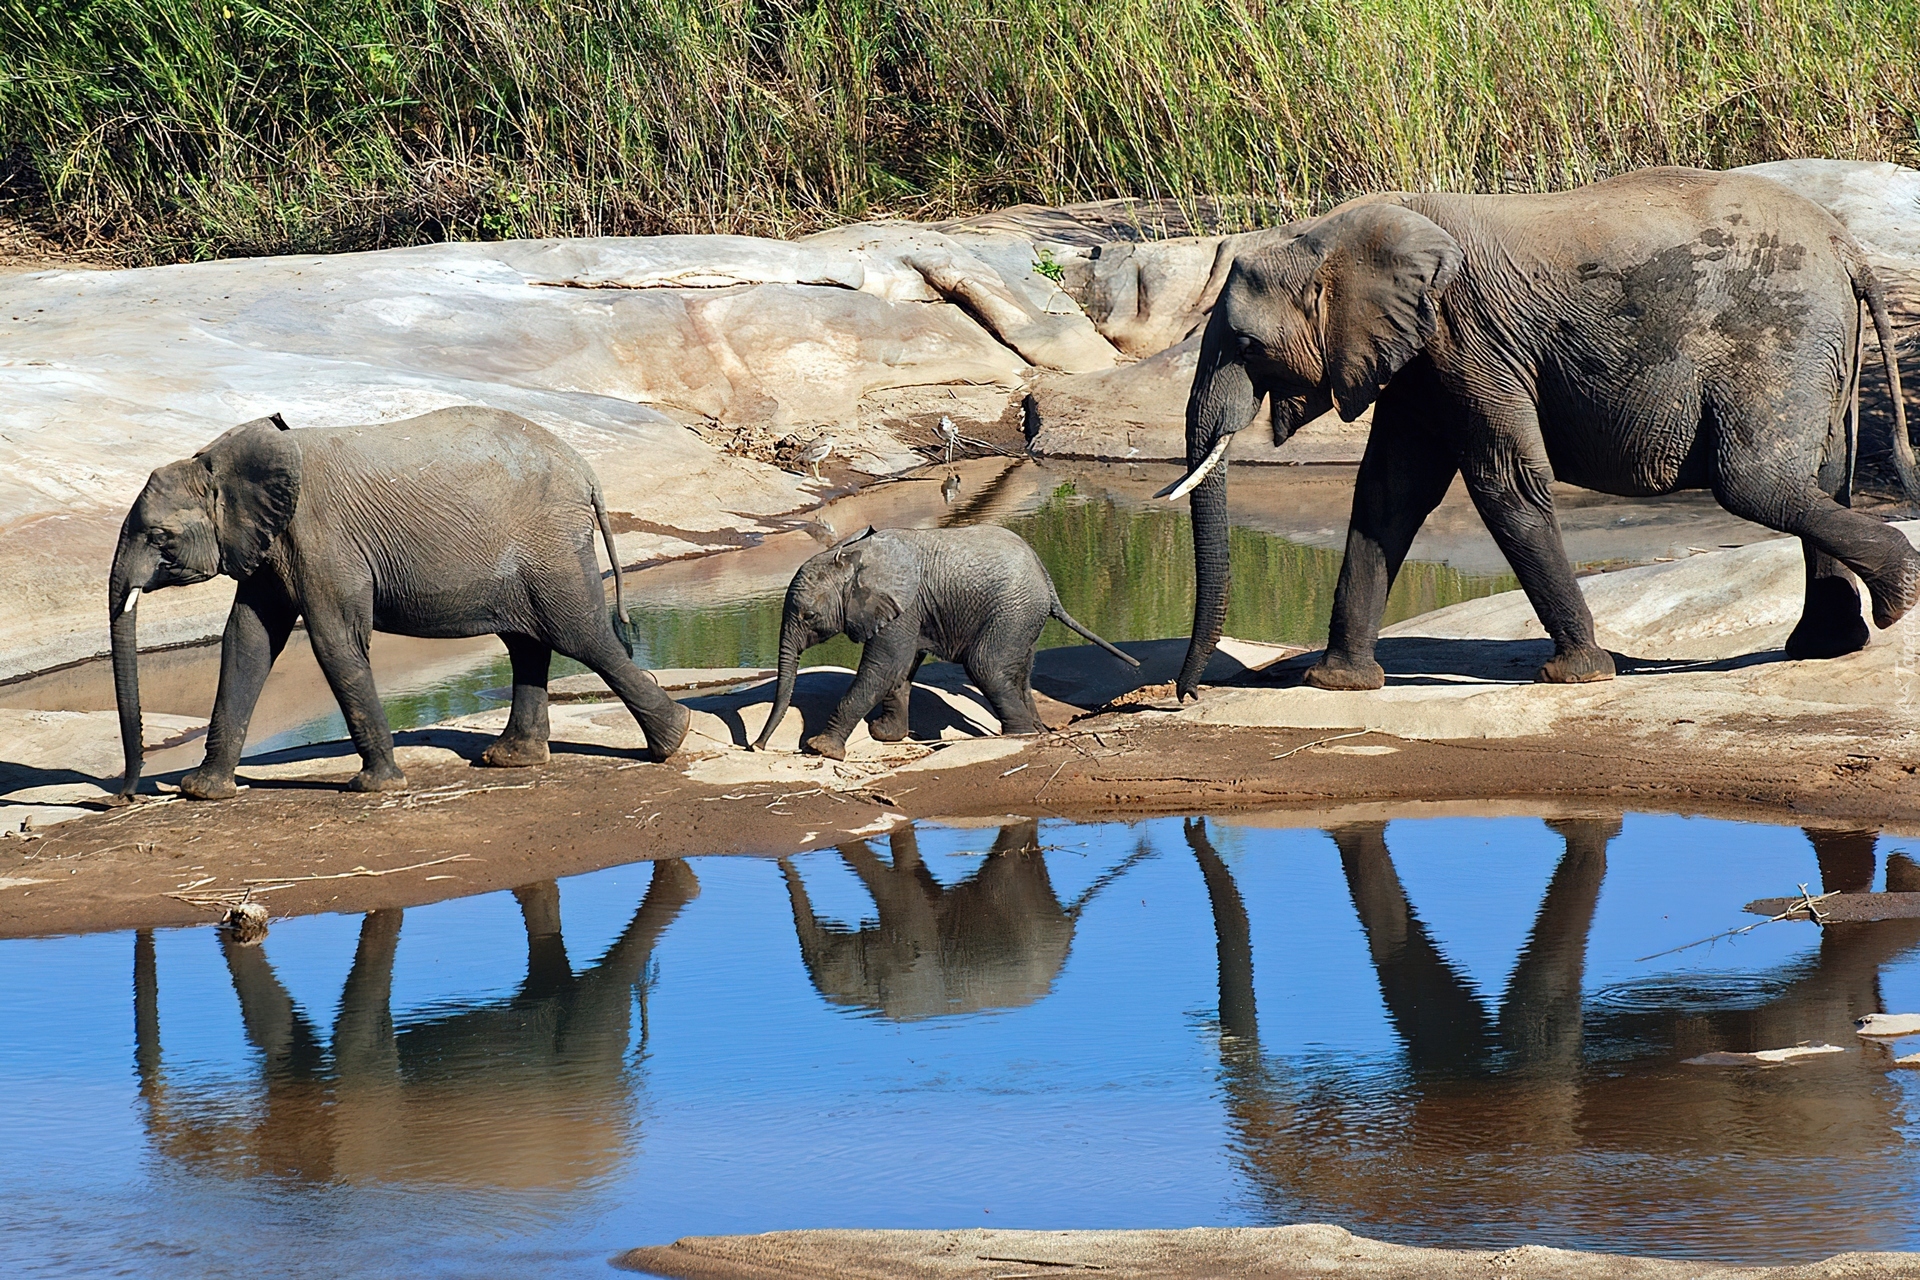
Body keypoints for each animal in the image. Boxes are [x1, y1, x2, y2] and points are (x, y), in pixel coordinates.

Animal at [107, 404, 691, 802]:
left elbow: (335, 642)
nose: (127, 794)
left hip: (550, 543)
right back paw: (511, 761)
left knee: (578, 634)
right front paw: (202, 791)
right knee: (527, 641)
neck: (221, 460)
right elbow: (247, 641)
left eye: (159, 538)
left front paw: (375, 787)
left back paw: (673, 740)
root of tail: (586, 470)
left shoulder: (322, 540)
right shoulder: (267, 545)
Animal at [748, 521, 1136, 756]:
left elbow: (881, 668)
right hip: (1022, 617)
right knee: (1020, 672)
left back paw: (1018, 735)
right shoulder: (910, 612)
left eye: (808, 617)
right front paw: (886, 734)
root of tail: (1048, 581)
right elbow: (900, 671)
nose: (757, 746)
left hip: (1011, 609)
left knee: (985, 666)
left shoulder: (902, 607)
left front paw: (821, 748)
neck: (855, 557)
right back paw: (1038, 730)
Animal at [1159, 167, 1912, 702]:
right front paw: (1336, 683)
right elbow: (1389, 493)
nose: (1185, 696)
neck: (1333, 231)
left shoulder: (1468, 336)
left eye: (1248, 347)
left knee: (1756, 481)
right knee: (1819, 478)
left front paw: (1578, 676)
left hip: (1780, 338)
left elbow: (1506, 484)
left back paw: (1899, 593)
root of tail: (1848, 249)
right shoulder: (1423, 360)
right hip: (1819, 348)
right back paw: (1829, 646)